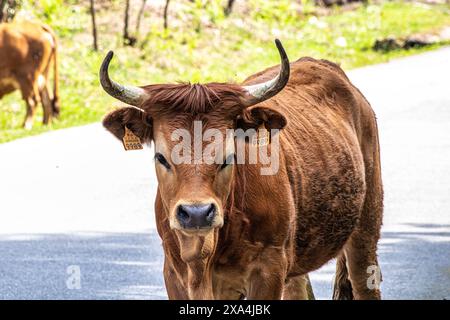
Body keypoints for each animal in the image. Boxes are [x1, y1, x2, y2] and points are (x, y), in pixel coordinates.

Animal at [99, 40, 384, 300]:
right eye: (161, 157)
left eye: (228, 157)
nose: (196, 214)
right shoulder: (175, 272)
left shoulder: (268, 270)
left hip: (366, 226)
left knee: (364, 281)